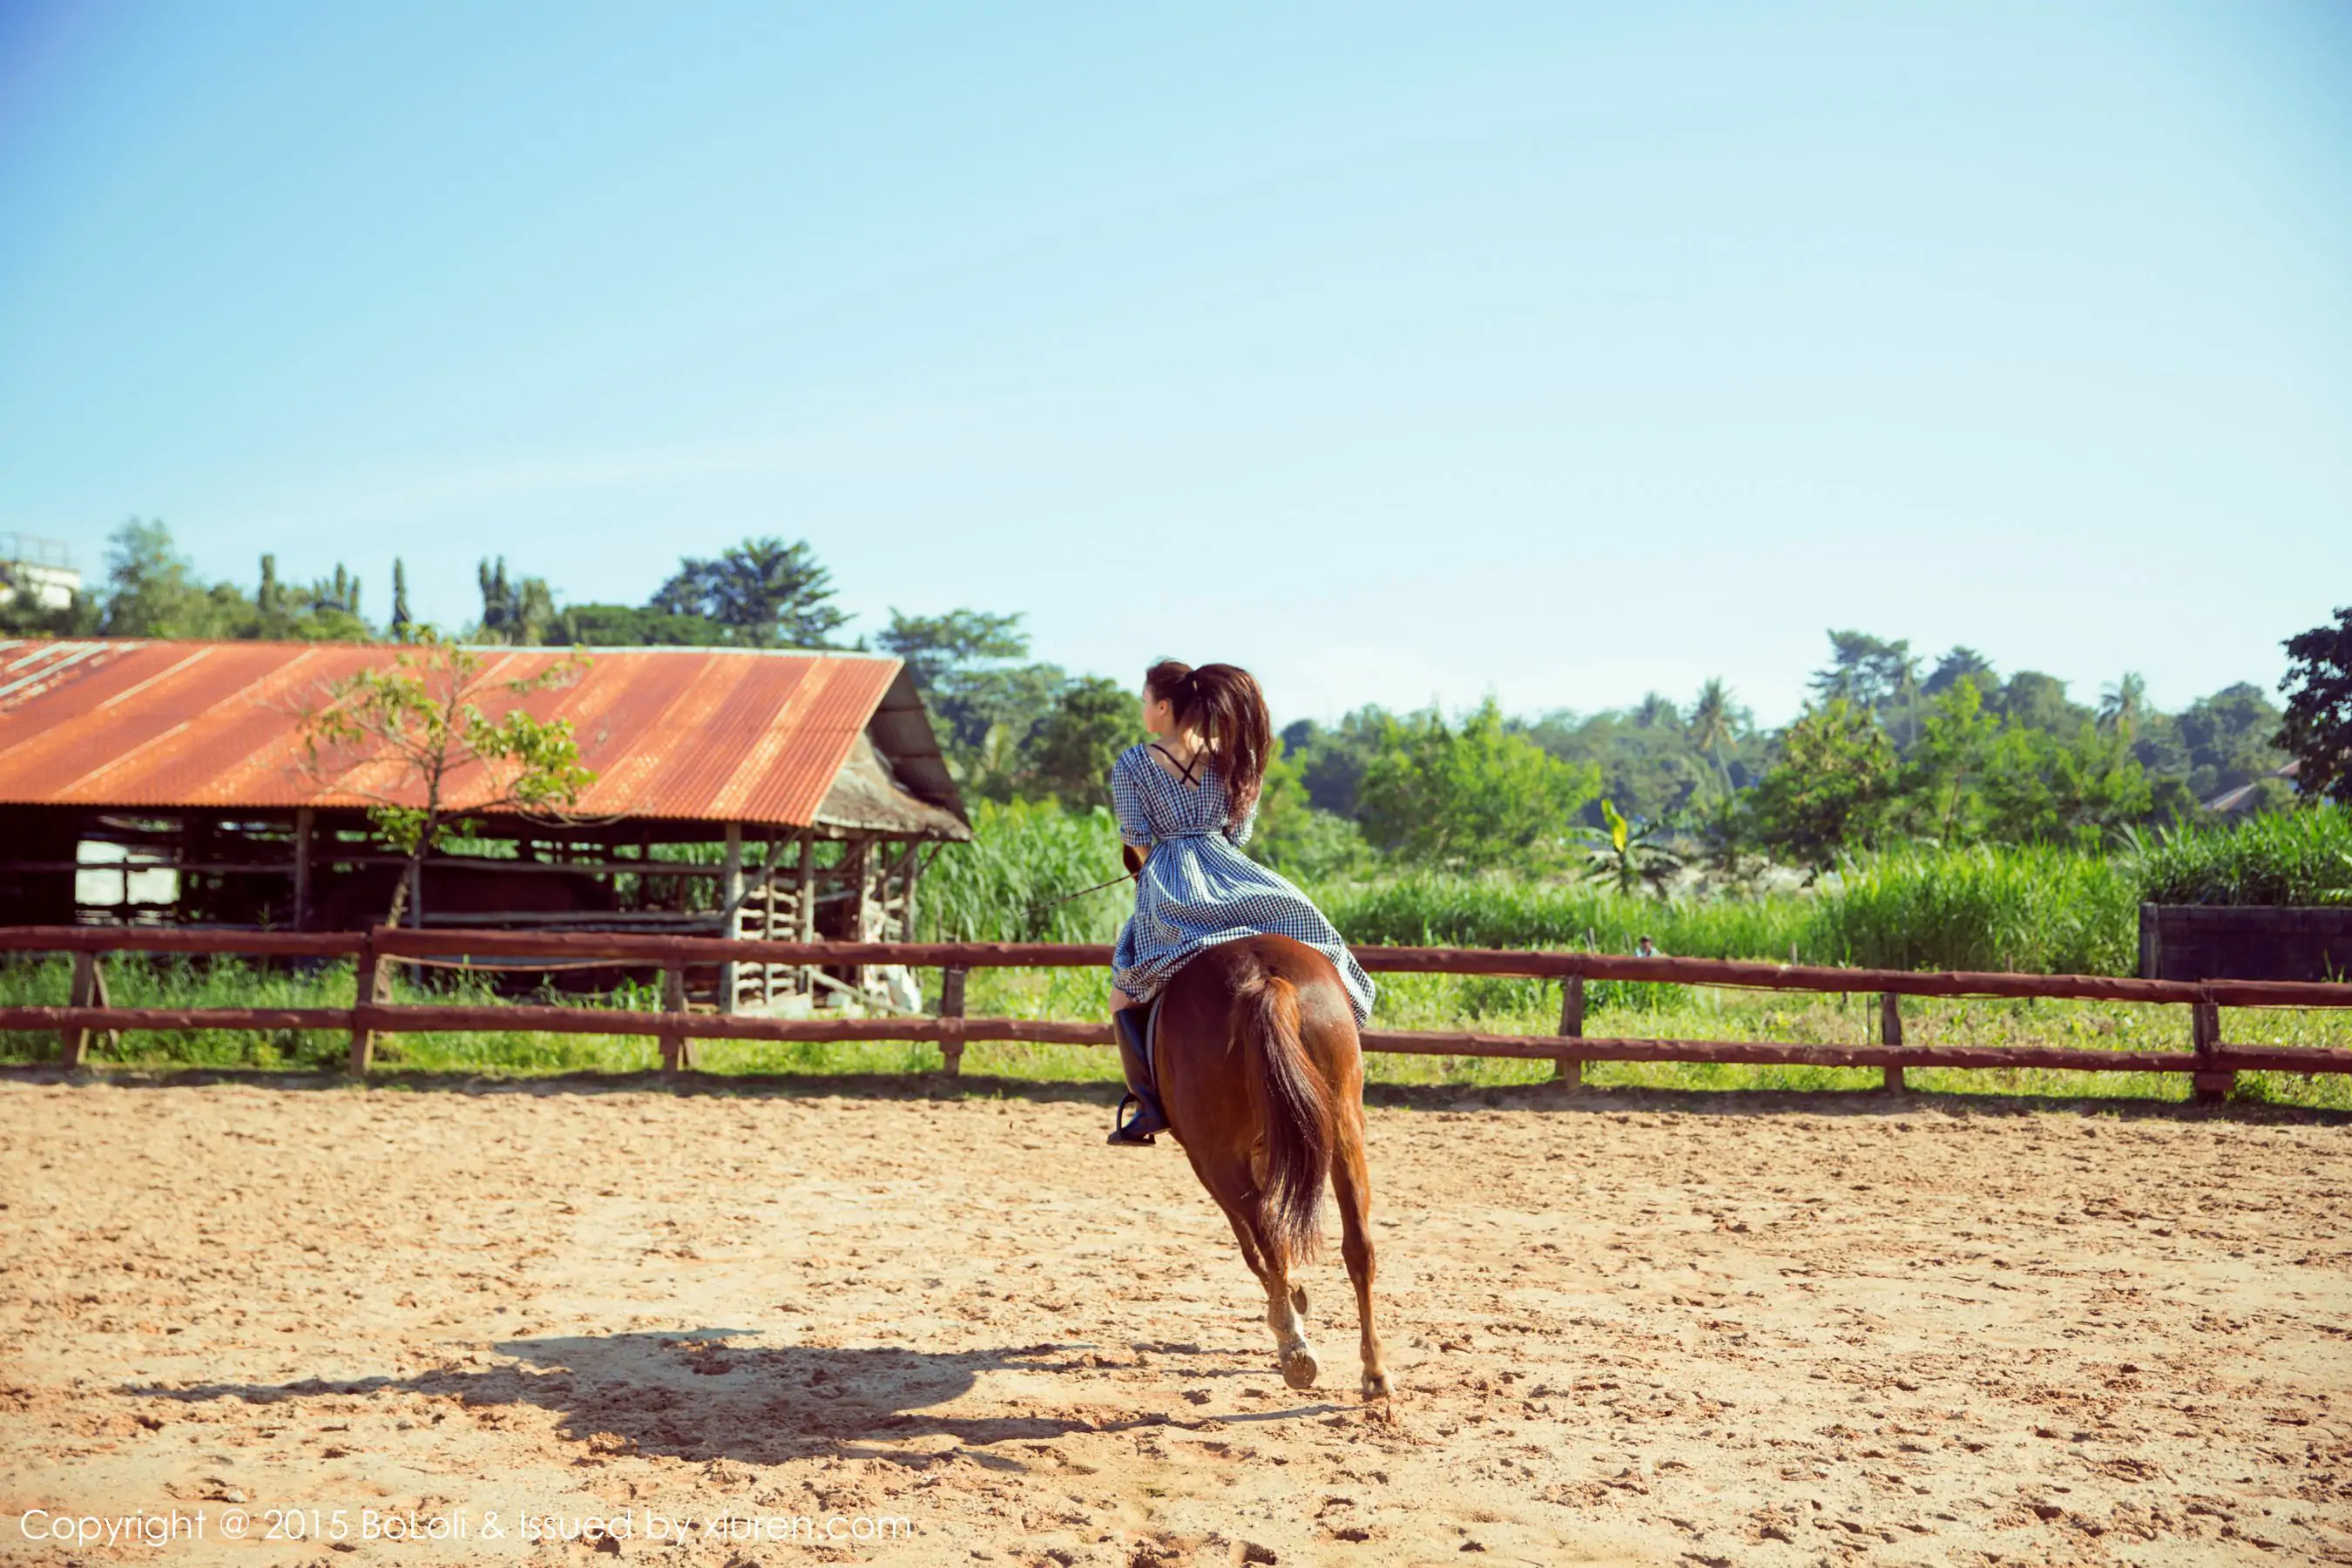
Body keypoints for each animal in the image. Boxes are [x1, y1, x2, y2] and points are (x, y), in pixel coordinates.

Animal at [1147, 930, 1382, 1401]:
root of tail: (1263, 981)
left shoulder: (1204, 1159)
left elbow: (1251, 1246)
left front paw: (1291, 1296)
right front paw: (1295, 1291)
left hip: (1217, 1159)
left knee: (1270, 1241)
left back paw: (1293, 1346)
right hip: (1344, 1127)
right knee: (1357, 1246)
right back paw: (1374, 1371)